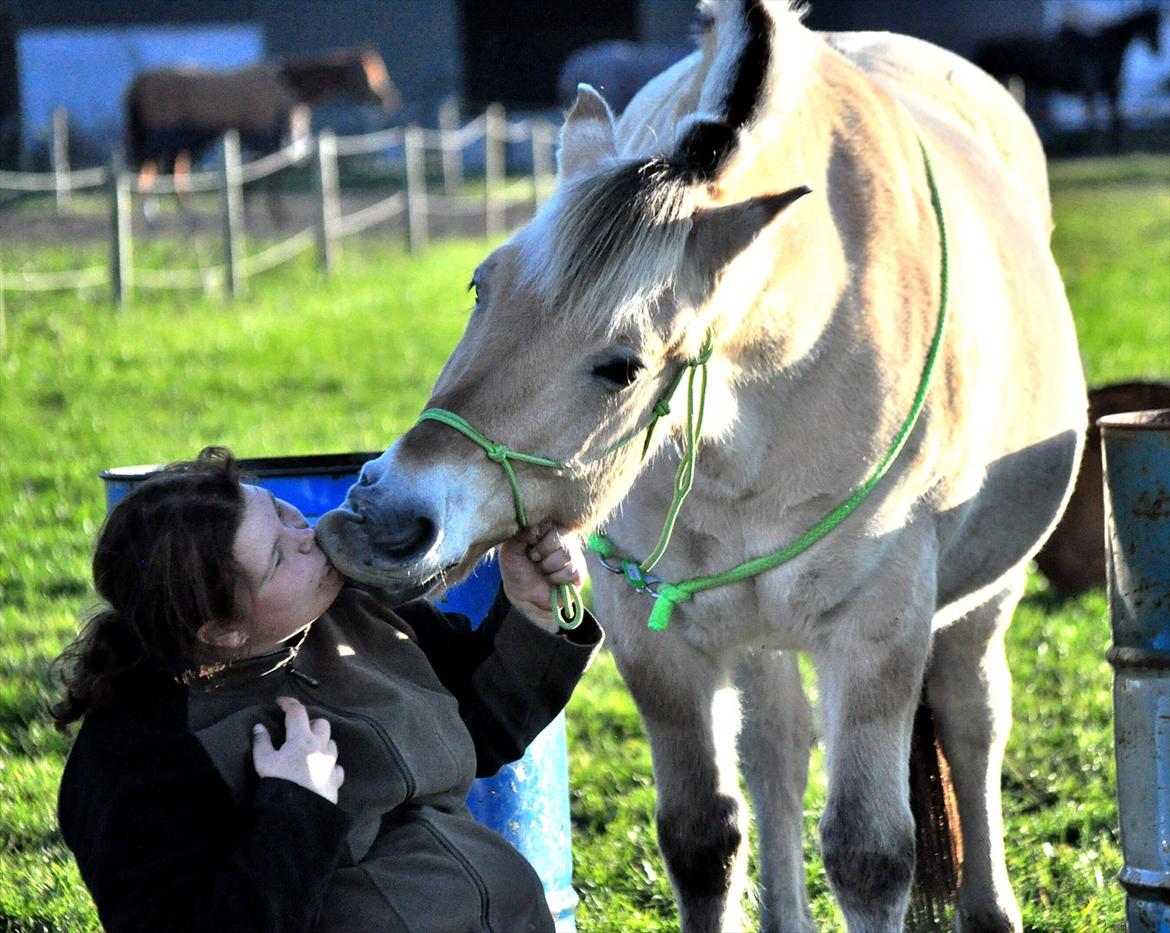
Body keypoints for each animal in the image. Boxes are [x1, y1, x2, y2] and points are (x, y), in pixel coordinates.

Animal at [124, 48, 397, 218]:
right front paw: (272, 217)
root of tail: (139, 81)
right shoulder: (267, 142)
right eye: (368, 74)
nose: (388, 98)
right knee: (151, 168)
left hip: (180, 141)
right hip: (162, 138)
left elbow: (253, 181)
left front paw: (247, 214)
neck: (286, 86)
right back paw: (153, 212)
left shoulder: (267, 144)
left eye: (380, 71)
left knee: (171, 170)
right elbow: (268, 179)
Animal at [318, 3, 1085, 927]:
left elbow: (869, 854)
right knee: (777, 752)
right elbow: (701, 836)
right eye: (480, 286)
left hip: (982, 602)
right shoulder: (659, 641)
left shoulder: (879, 628)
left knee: (974, 724)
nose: (386, 519)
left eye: (621, 367)